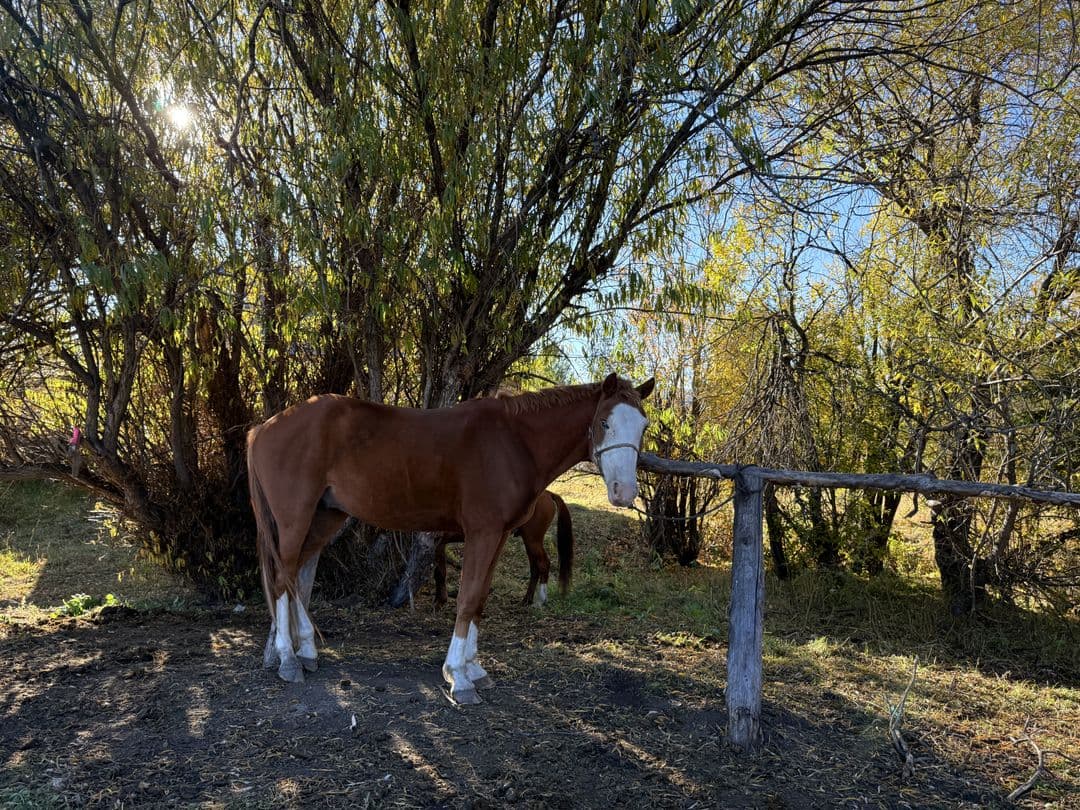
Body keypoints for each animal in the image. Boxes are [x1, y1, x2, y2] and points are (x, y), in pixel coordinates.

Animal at [433, 489, 574, 608]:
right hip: (529, 541)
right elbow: (440, 572)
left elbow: (440, 572)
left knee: (543, 564)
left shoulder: (438, 544)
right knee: (535, 568)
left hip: (533, 539)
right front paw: (440, 600)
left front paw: (440, 601)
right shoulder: (440, 545)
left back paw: (540, 601)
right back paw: (526, 600)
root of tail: (548, 493)